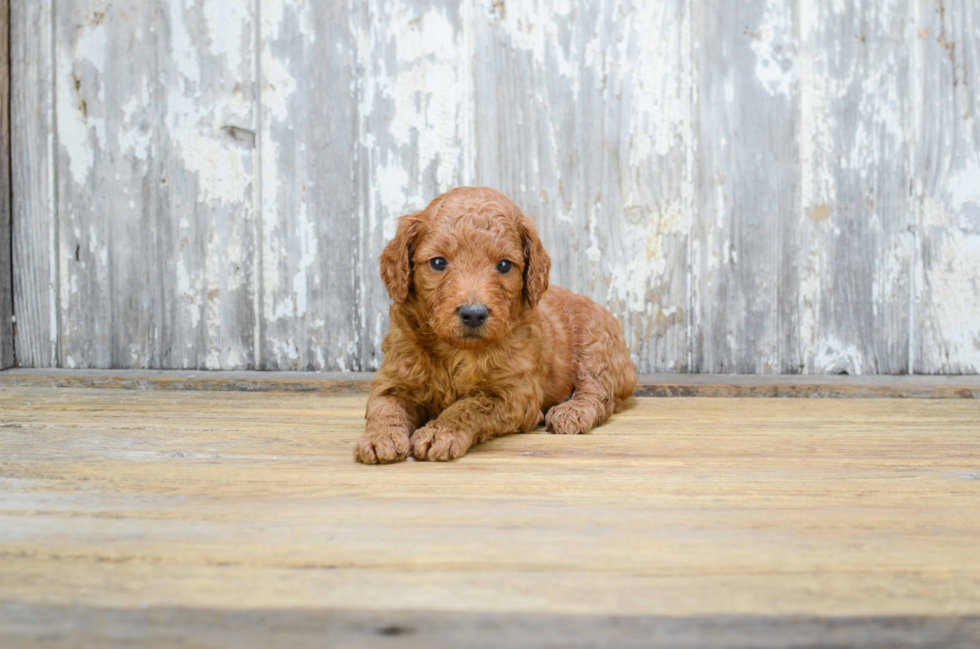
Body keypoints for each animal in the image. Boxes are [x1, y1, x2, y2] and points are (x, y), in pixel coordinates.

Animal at [352, 185, 636, 464]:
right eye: (438, 262)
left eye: (504, 265)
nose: (473, 314)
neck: (456, 352)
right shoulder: (393, 379)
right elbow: (384, 408)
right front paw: (380, 438)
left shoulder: (515, 393)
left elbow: (469, 407)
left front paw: (440, 432)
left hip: (595, 347)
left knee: (598, 392)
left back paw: (572, 411)